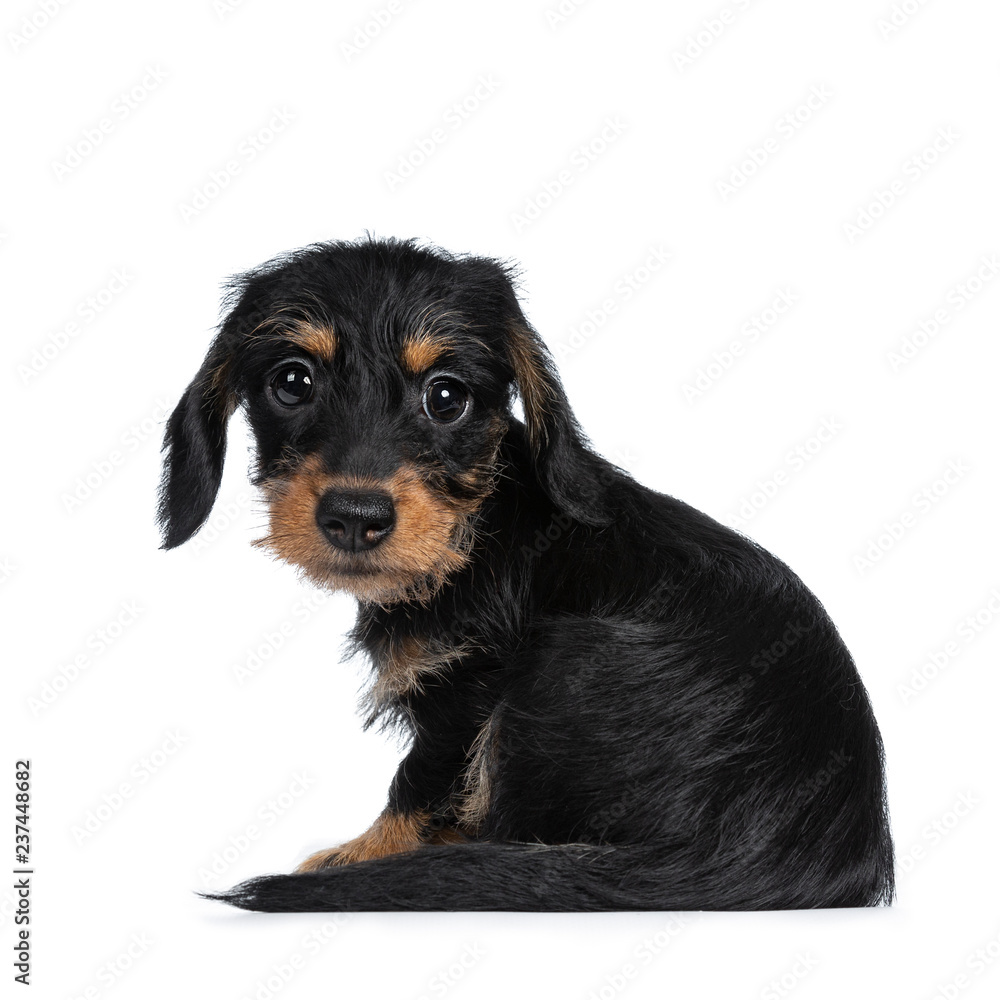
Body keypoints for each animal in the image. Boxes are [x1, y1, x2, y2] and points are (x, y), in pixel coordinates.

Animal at [160, 238, 896, 912]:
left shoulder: (468, 689)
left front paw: (362, 855)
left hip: (559, 666)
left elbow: (421, 783)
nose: (355, 518)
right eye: (293, 382)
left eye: (447, 397)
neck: (473, 531)